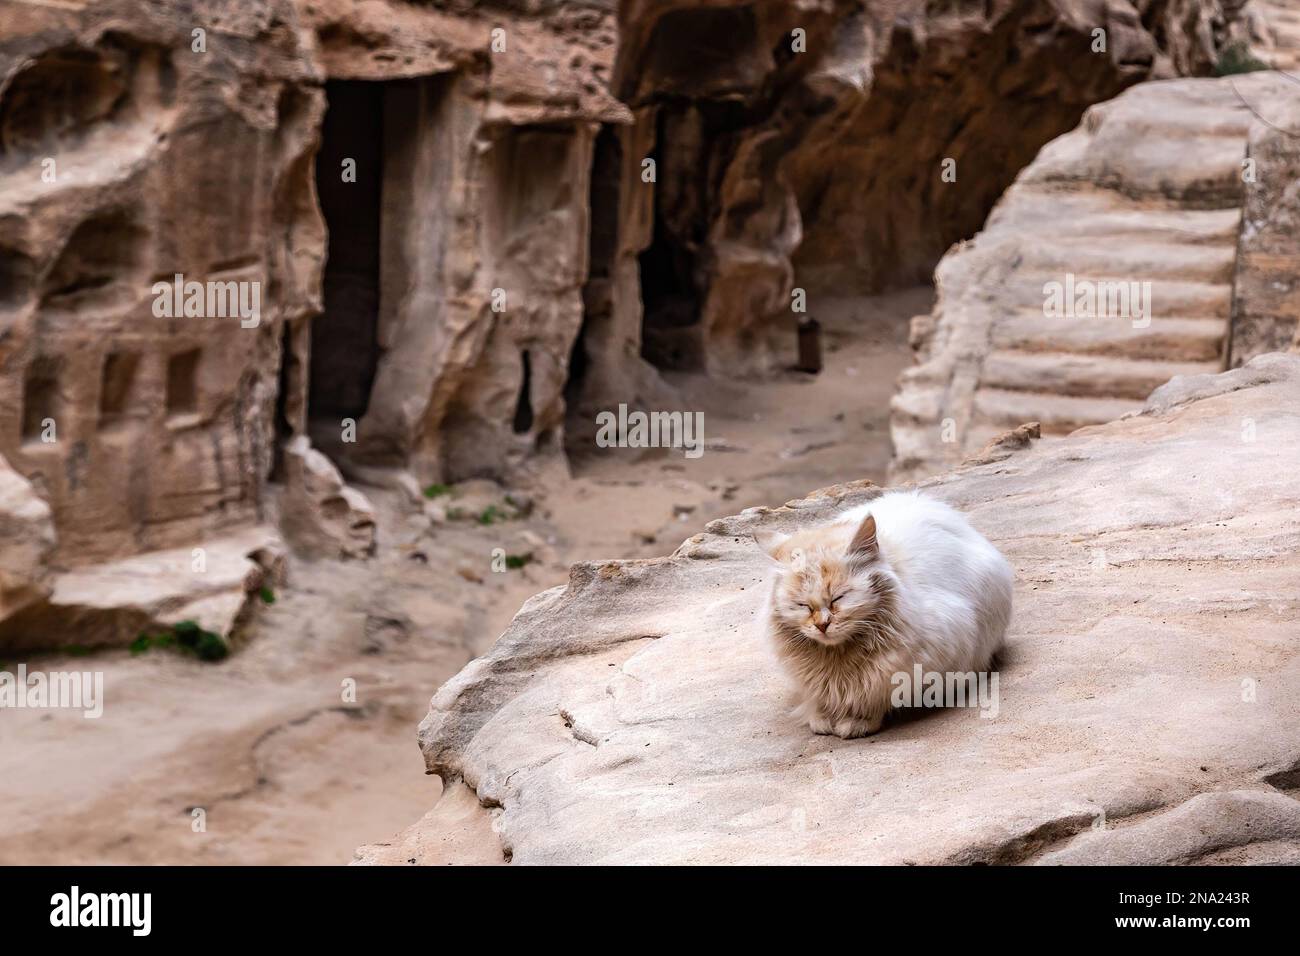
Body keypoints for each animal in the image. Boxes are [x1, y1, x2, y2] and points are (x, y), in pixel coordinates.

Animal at [754, 494, 1013, 738]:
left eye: (838, 598)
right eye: (803, 605)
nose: (822, 625)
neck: (838, 658)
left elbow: (874, 697)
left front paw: (856, 722)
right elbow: (819, 699)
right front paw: (823, 718)